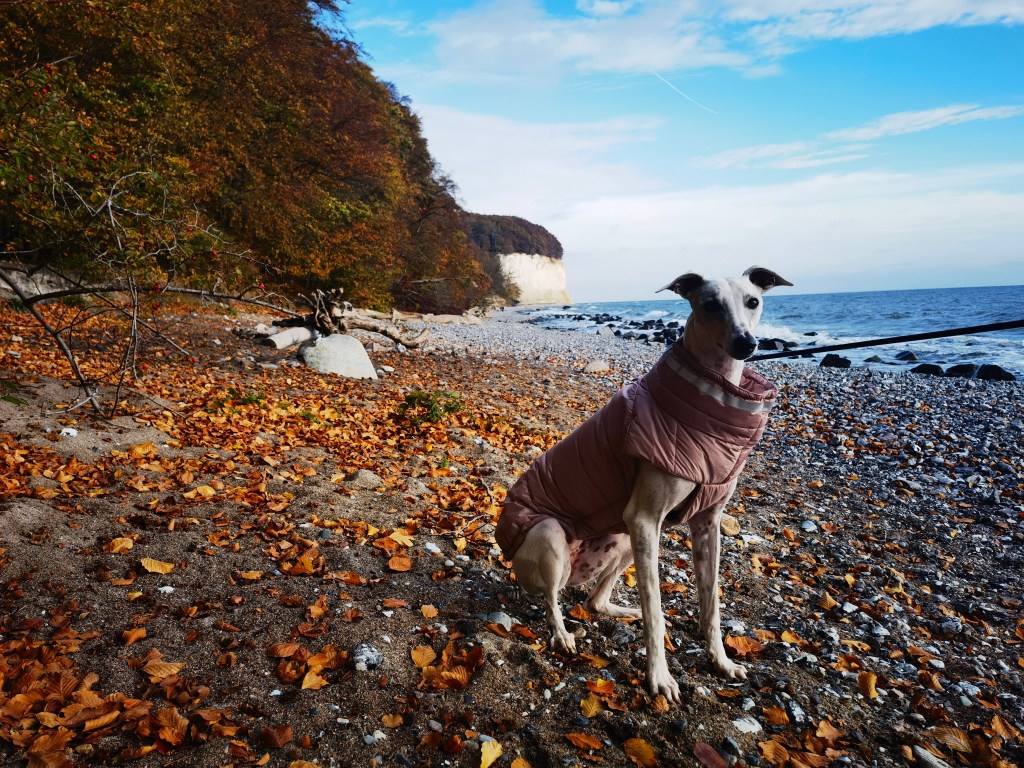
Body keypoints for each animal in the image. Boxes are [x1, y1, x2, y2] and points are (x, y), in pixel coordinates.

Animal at [495, 266, 792, 703]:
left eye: (753, 301)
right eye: (709, 304)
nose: (746, 342)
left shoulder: (706, 523)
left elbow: (712, 605)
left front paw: (721, 661)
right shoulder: (645, 518)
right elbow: (657, 610)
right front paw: (660, 678)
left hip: (621, 539)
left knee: (595, 600)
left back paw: (618, 610)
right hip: (552, 535)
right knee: (552, 601)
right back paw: (562, 635)